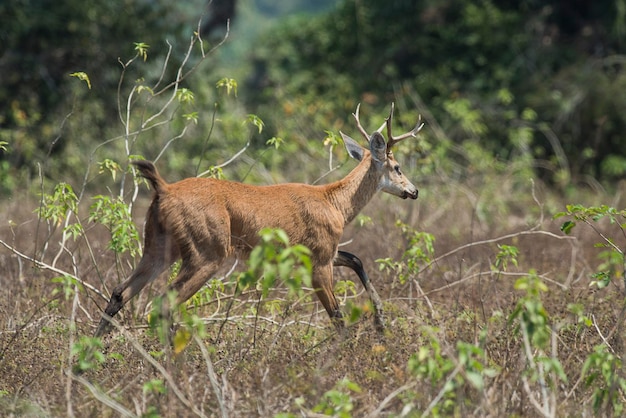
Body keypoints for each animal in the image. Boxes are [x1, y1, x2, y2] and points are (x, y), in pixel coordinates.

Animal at [95, 103, 422, 336]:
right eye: (397, 167)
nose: (414, 190)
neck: (335, 204)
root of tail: (163, 189)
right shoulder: (320, 257)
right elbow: (337, 316)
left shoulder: (316, 253)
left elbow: (355, 259)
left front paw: (381, 321)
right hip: (207, 250)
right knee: (163, 303)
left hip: (159, 244)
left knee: (120, 292)